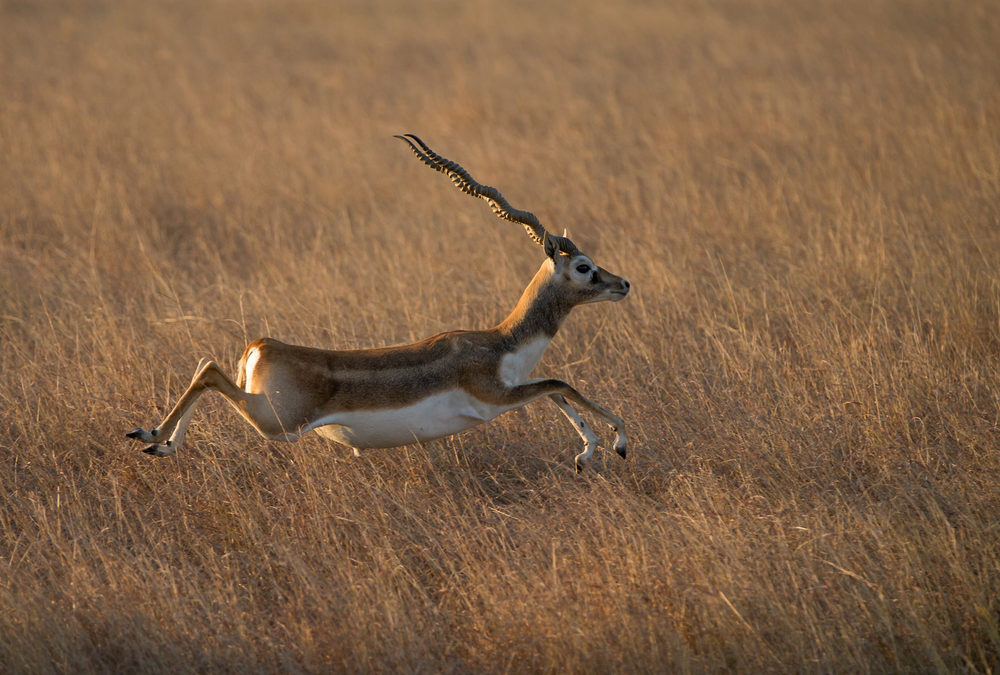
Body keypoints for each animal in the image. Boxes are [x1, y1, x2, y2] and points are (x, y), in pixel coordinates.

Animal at [123, 132, 624, 470]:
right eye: (583, 266)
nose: (623, 284)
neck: (502, 342)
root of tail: (262, 346)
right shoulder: (495, 397)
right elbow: (561, 384)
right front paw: (617, 441)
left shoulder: (514, 391)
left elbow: (556, 392)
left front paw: (586, 454)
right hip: (276, 424)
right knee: (209, 371)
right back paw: (150, 432)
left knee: (204, 364)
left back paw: (161, 443)